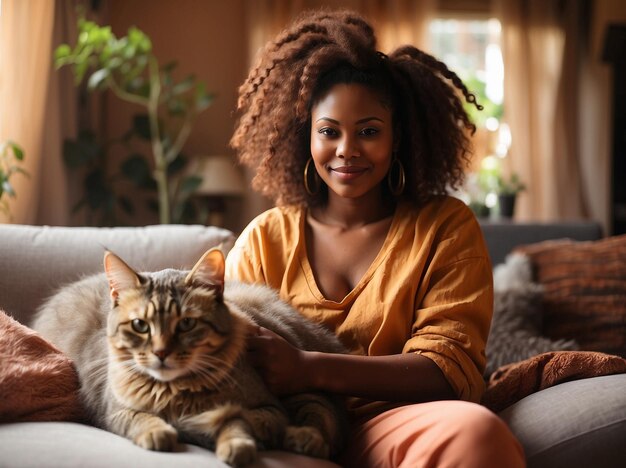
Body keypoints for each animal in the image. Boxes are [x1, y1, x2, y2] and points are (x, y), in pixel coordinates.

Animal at [30, 247, 346, 466]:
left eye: (186, 324)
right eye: (140, 325)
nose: (161, 352)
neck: (177, 391)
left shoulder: (269, 409)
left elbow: (237, 421)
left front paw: (236, 445)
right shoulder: (114, 410)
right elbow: (142, 419)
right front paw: (159, 433)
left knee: (321, 409)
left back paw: (306, 439)